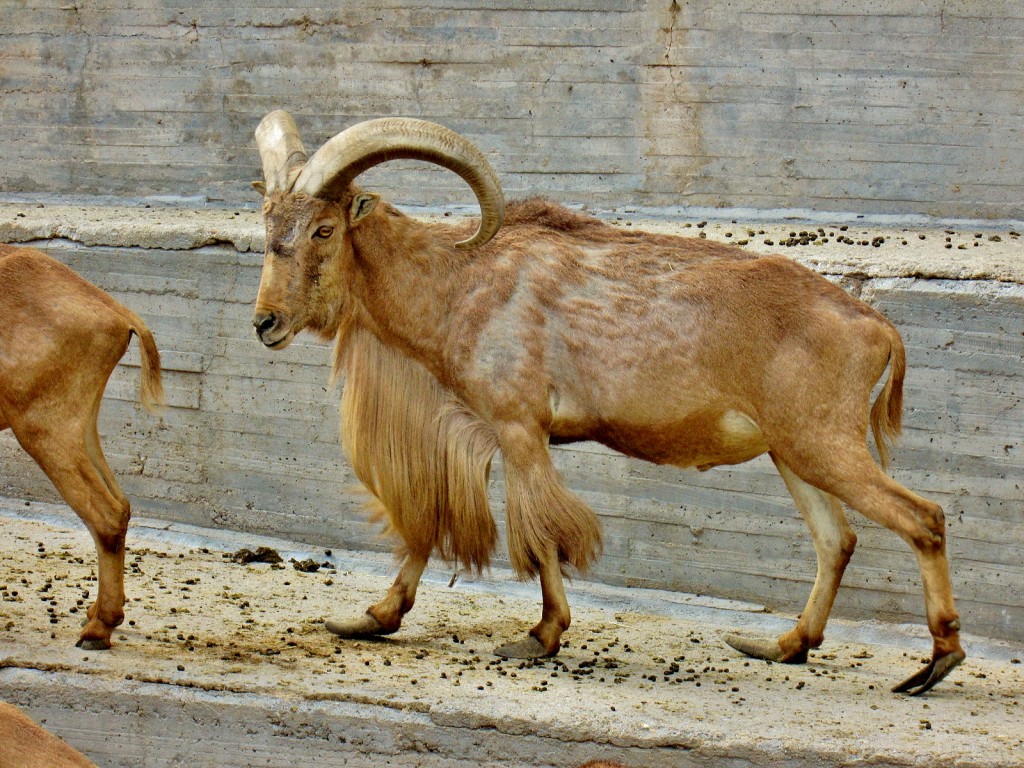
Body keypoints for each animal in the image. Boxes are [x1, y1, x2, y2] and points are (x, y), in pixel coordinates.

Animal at [0, 246, 162, 651]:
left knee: (105, 514)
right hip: (81, 425)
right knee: (121, 506)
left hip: (44, 427)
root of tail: (117, 314)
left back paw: (99, 628)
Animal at [251, 112, 962, 696]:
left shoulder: (517, 426)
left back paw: (935, 662)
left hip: (823, 443)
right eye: (268, 229)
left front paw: (540, 636)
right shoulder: (471, 437)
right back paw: (786, 645)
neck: (456, 281)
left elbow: (541, 533)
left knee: (921, 518)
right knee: (836, 538)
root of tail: (878, 327)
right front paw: (373, 617)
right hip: (794, 453)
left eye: (323, 229)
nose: (265, 323)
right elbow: (430, 524)